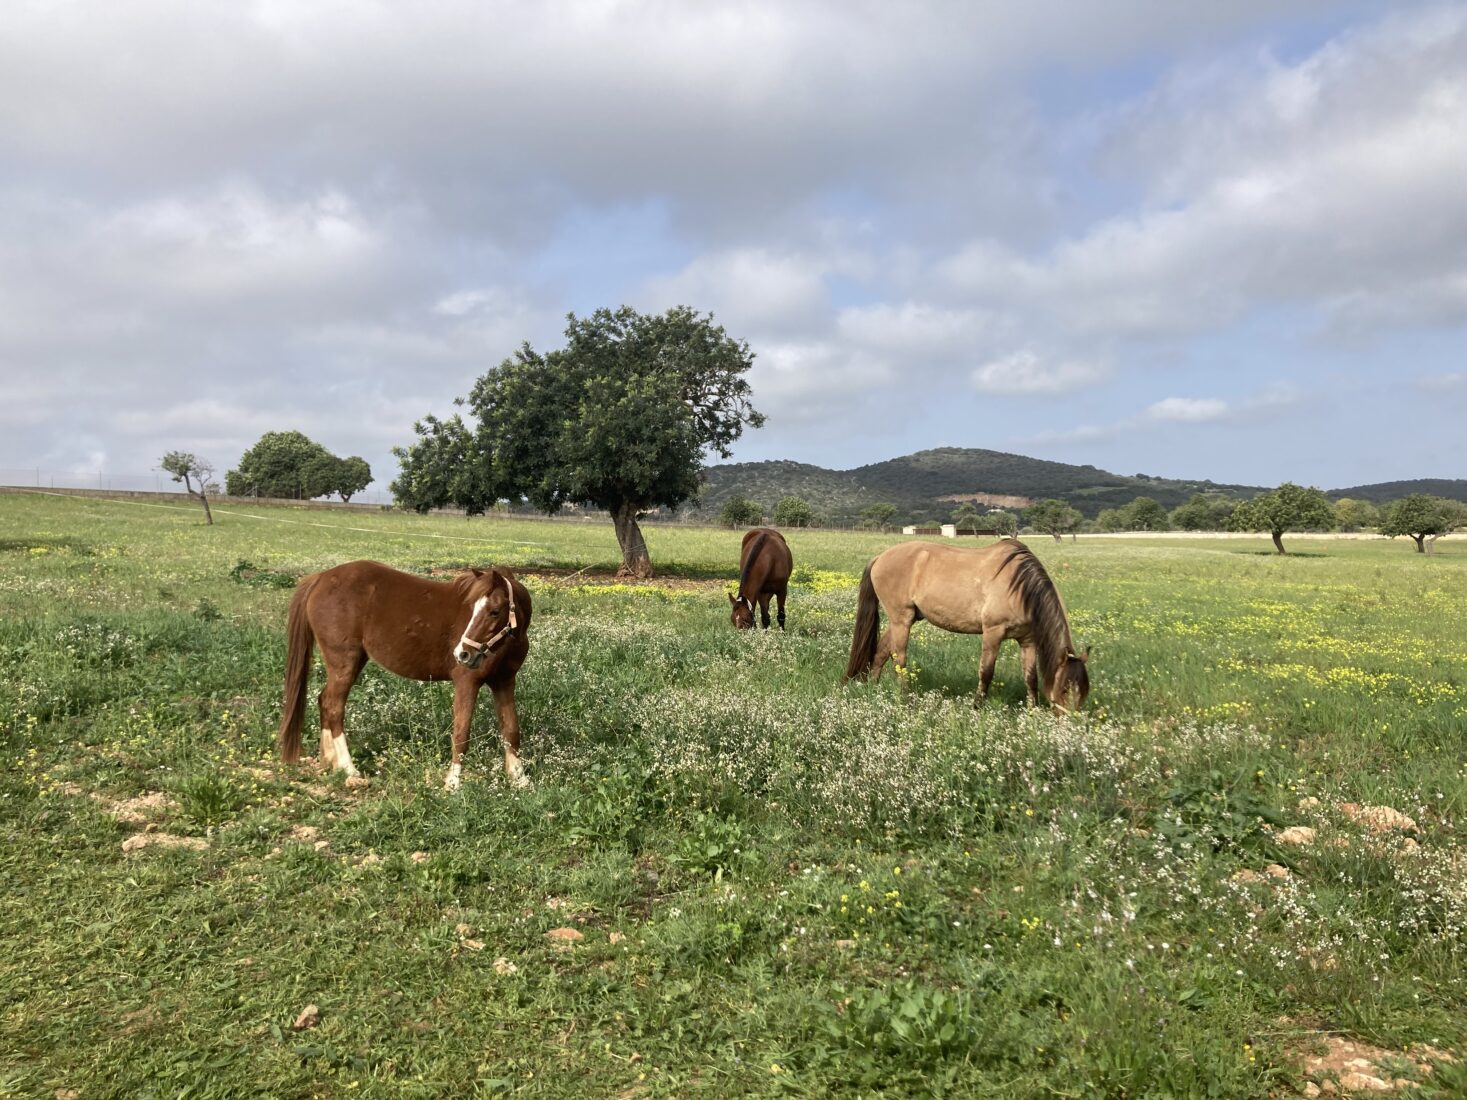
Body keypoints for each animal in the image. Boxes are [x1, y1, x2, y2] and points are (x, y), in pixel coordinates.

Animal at [275, 560, 533, 792]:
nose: (462, 654)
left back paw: (330, 761)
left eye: (494, 611)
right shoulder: (467, 682)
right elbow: (461, 733)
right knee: (333, 706)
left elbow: (511, 730)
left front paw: (519, 780)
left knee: (324, 700)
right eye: (472, 609)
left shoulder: (504, 682)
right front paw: (452, 784)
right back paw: (349, 769)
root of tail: (320, 578)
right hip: (344, 663)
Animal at [839, 542, 1091, 715]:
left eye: (1085, 691)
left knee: (881, 652)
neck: (1020, 587)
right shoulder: (993, 632)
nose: (1070, 727)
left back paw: (874, 689)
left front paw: (1032, 711)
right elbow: (986, 672)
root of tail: (880, 557)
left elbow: (1031, 678)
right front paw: (977, 707)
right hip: (901, 619)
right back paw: (905, 699)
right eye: (1065, 689)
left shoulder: (1027, 640)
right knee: (899, 659)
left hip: (904, 619)